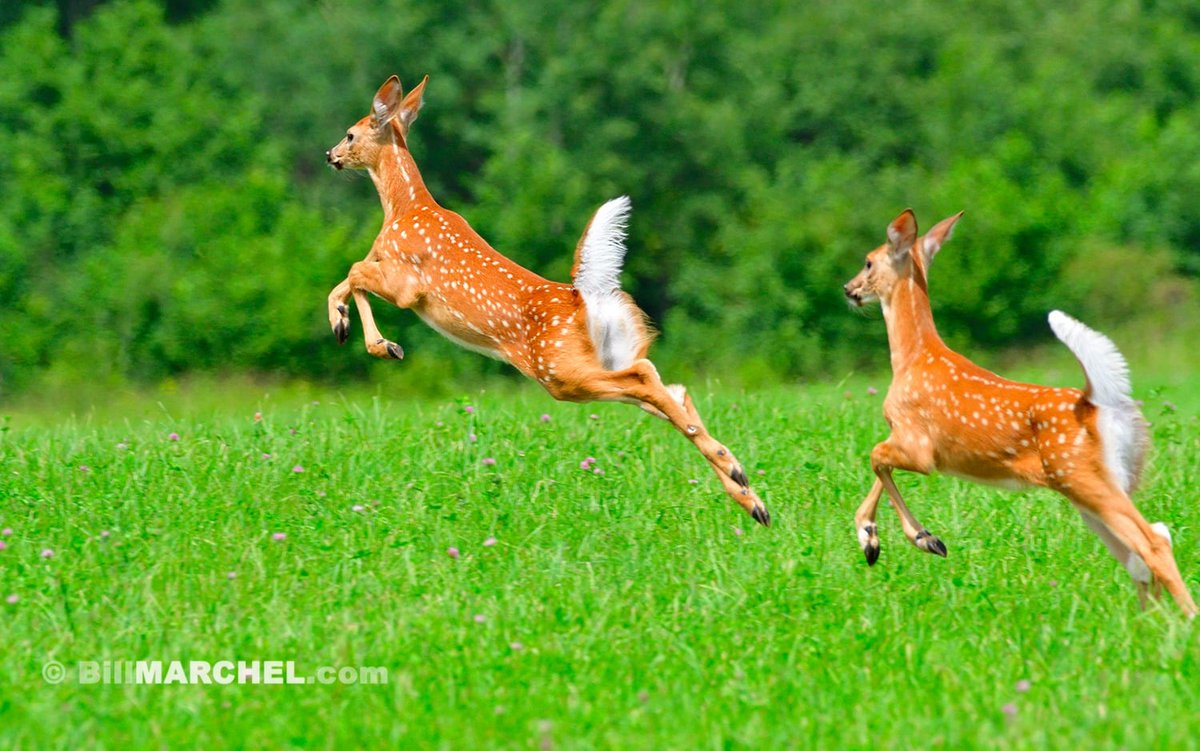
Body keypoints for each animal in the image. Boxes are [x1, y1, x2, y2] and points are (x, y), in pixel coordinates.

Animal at [322, 75, 770, 526]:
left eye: (351, 133)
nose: (330, 155)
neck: (403, 209)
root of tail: (583, 297)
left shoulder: (407, 284)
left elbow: (353, 271)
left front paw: (377, 343)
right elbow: (346, 279)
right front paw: (351, 328)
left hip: (558, 370)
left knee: (648, 379)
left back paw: (737, 476)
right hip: (608, 354)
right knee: (671, 389)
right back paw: (750, 496)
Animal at [842, 208, 1197, 616]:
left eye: (868, 260)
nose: (849, 289)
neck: (913, 358)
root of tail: (1101, 402)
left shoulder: (920, 447)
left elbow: (875, 457)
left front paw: (913, 538)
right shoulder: (905, 440)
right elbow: (879, 464)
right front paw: (878, 538)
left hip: (1082, 475)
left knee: (1152, 541)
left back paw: (1186, 619)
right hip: (1098, 484)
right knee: (1143, 549)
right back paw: (1150, 621)